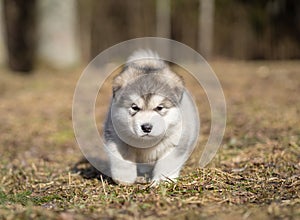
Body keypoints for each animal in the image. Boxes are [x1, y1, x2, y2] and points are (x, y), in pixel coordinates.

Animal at [103, 49, 199, 184]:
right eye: (134, 107)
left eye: (159, 108)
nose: (147, 127)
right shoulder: (115, 136)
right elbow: (123, 158)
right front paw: (125, 179)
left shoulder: (176, 142)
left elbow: (167, 163)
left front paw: (163, 181)